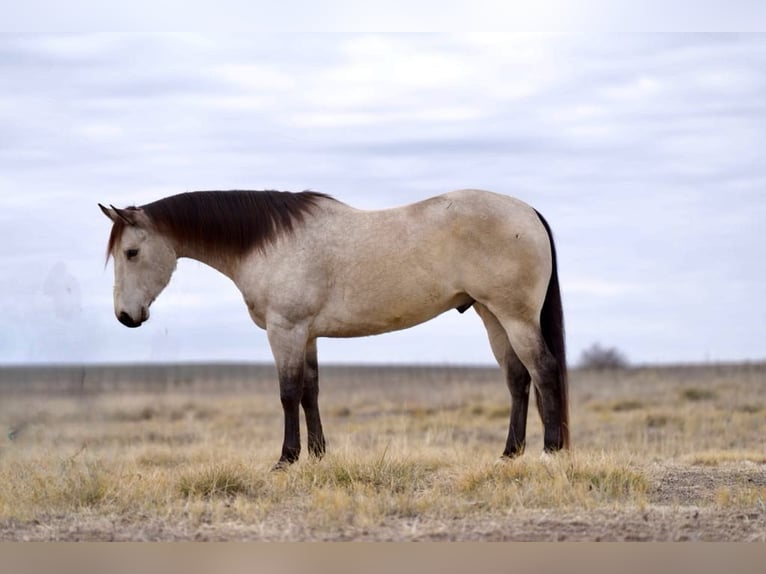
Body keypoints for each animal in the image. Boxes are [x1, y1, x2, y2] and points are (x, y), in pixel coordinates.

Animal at [99, 191, 568, 470]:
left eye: (132, 252)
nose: (125, 316)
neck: (269, 243)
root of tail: (528, 211)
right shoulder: (306, 335)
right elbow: (310, 391)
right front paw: (319, 455)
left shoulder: (285, 330)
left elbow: (288, 393)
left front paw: (286, 459)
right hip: (492, 315)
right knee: (518, 379)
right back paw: (509, 454)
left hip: (514, 316)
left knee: (543, 370)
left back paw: (551, 451)